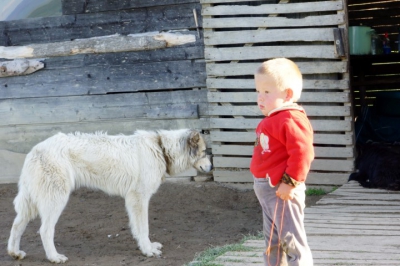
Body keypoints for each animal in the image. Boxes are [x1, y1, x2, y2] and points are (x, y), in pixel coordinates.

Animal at [7, 129, 212, 264]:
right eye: (203, 152)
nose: (211, 167)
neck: (160, 148)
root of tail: (35, 150)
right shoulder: (138, 199)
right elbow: (144, 228)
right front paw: (147, 251)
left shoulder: (134, 201)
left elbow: (139, 229)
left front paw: (148, 247)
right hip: (56, 200)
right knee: (45, 230)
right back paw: (54, 257)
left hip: (32, 204)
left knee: (16, 225)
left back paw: (14, 253)